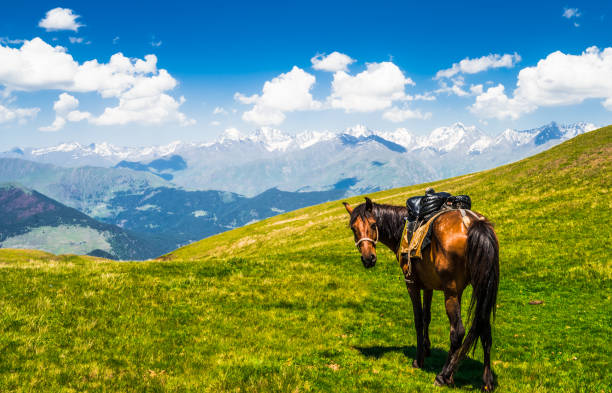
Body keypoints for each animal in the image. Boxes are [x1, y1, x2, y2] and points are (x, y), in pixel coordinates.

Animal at [342, 196, 500, 388]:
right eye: (353, 228)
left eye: (373, 225)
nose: (368, 259)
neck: (402, 227)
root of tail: (472, 222)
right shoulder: (428, 286)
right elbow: (426, 317)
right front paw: (426, 348)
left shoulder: (412, 283)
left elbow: (418, 320)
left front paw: (418, 360)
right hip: (482, 286)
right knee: (485, 328)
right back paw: (487, 381)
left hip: (452, 292)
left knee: (458, 332)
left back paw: (443, 375)